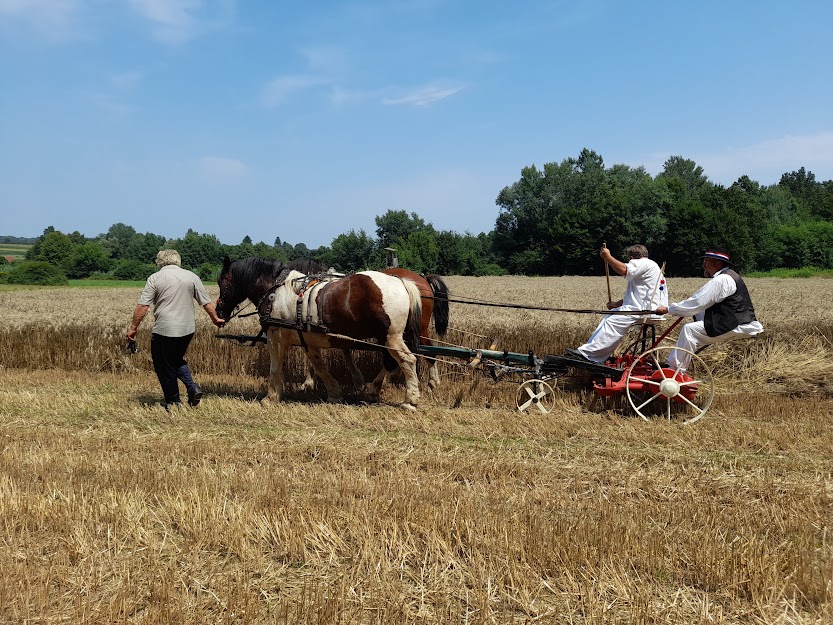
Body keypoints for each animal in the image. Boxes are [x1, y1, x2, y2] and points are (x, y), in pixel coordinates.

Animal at [216, 255, 422, 410]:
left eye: (222, 282)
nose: (218, 313)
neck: (276, 292)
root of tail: (401, 282)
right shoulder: (307, 340)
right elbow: (319, 366)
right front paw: (333, 393)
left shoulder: (275, 337)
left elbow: (275, 368)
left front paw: (271, 397)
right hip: (383, 337)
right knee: (390, 362)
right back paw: (374, 391)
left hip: (391, 337)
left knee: (407, 360)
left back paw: (410, 400)